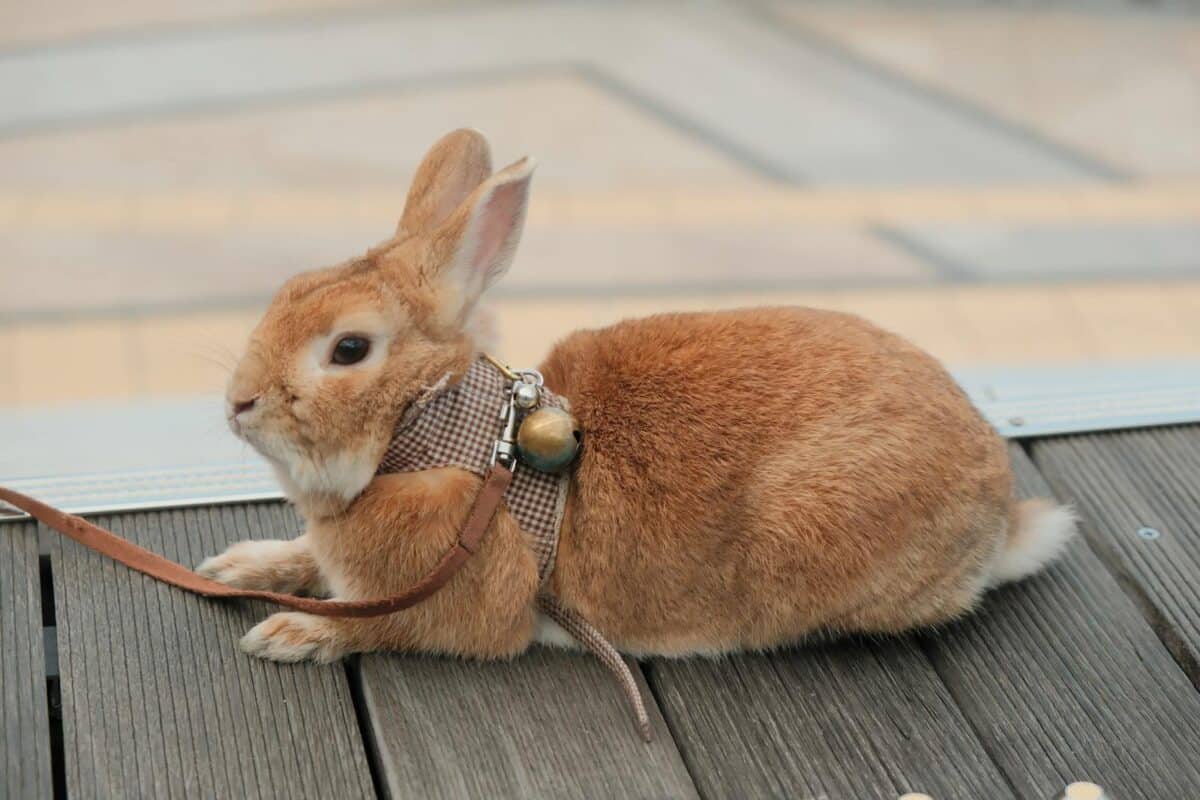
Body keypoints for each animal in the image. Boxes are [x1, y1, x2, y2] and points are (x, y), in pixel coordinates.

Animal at [196, 128, 1077, 665]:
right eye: (289, 289)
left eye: (348, 349)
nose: (238, 403)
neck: (441, 433)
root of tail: (1002, 516)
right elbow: (303, 558)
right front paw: (241, 566)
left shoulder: (458, 605)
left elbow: (384, 624)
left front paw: (290, 634)